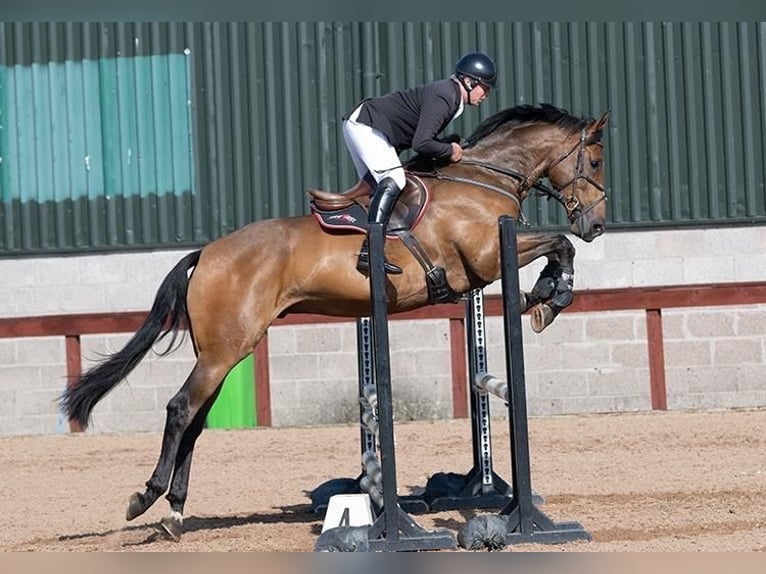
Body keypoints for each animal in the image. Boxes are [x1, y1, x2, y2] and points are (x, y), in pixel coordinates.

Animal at [58, 102, 612, 540]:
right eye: (596, 161)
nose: (597, 225)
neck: (481, 178)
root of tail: (207, 253)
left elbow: (557, 246)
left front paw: (545, 295)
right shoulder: (485, 258)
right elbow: (557, 244)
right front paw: (549, 296)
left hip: (220, 352)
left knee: (194, 421)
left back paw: (174, 514)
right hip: (225, 350)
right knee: (179, 409)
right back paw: (146, 499)